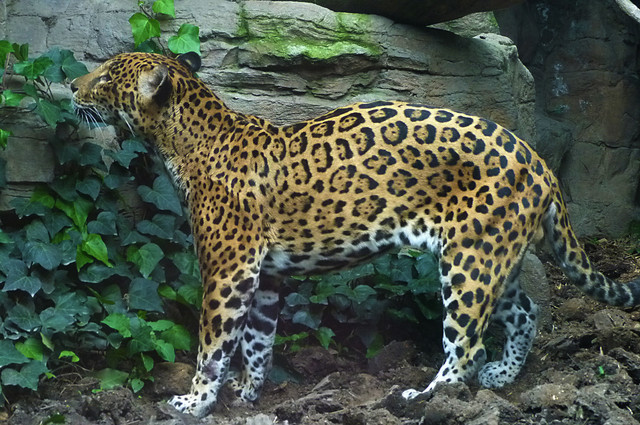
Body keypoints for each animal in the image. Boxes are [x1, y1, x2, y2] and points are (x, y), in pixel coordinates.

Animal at [70, 51, 640, 417]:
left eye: (106, 76)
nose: (73, 87)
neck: (179, 142)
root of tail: (539, 161)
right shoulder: (265, 276)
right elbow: (256, 339)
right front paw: (249, 393)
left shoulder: (229, 269)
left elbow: (214, 343)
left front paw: (194, 402)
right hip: (494, 254)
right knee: (525, 311)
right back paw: (502, 377)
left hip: (469, 262)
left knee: (467, 343)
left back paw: (425, 399)